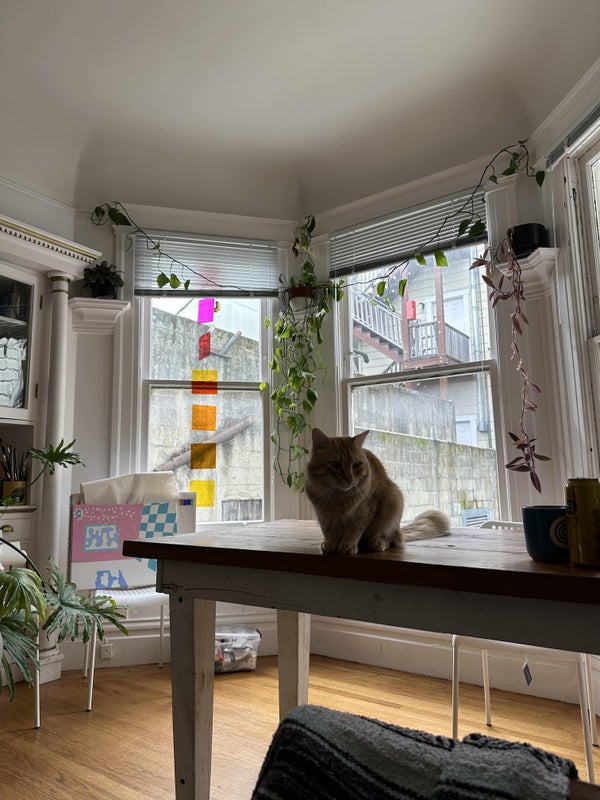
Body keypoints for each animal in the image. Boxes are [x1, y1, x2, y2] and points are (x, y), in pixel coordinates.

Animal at [305, 428, 450, 555]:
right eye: (336, 465)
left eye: (356, 465)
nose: (350, 479)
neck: (338, 496)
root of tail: (399, 530)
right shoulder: (323, 514)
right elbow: (328, 532)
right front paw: (330, 544)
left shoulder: (364, 510)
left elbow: (353, 531)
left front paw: (348, 545)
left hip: (393, 501)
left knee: (392, 540)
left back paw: (377, 542)